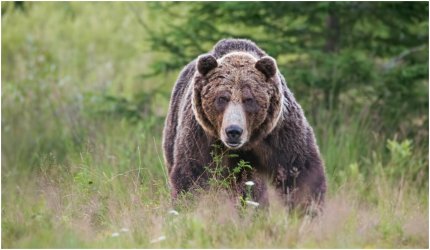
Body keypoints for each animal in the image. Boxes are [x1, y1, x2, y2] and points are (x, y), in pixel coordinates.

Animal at [161, 38, 326, 212]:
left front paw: (308, 209)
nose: (233, 131)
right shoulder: (201, 136)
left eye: (249, 99)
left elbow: (300, 171)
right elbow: (193, 174)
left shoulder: (279, 133)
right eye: (222, 98)